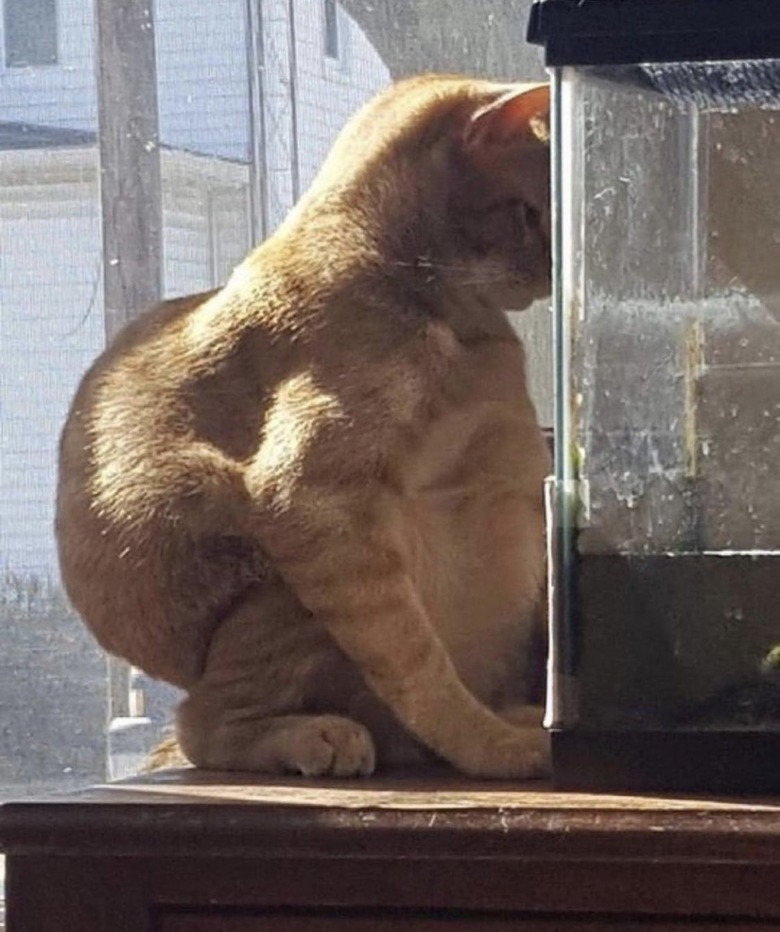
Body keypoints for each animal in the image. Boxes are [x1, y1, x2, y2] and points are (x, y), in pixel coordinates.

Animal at [58, 73, 552, 776]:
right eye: (532, 214)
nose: (552, 269)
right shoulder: (314, 500)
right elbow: (418, 666)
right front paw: (492, 745)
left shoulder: (511, 477)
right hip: (289, 581)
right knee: (200, 724)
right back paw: (323, 736)